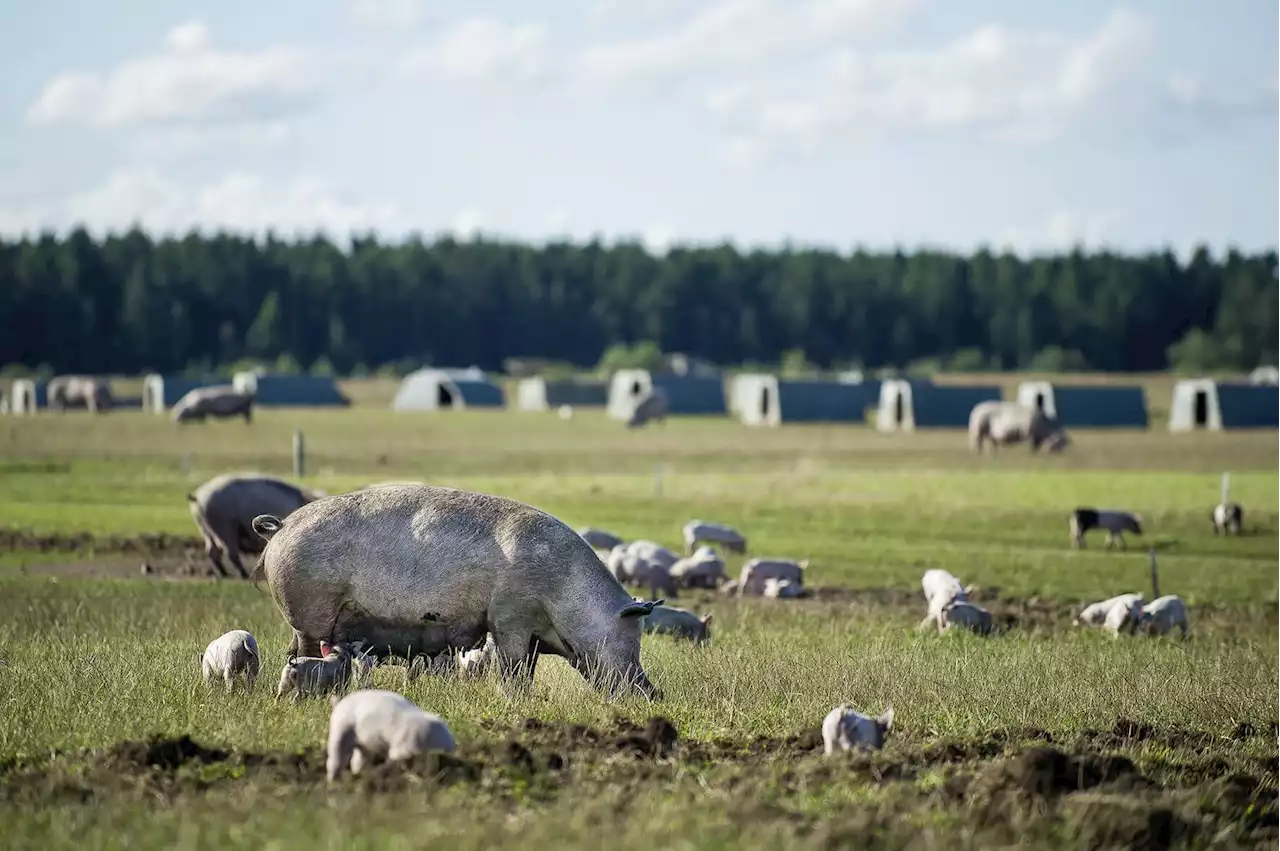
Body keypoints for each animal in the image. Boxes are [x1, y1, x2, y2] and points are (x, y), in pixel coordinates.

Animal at [186, 468, 322, 580]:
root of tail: (197, 496)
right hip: (225, 526)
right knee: (230, 553)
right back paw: (243, 575)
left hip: (205, 529)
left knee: (212, 551)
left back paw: (224, 574)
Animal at [252, 481, 670, 701]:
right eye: (630, 642)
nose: (655, 695)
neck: (564, 591)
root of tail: (282, 526)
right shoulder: (510, 616)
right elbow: (513, 666)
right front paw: (517, 701)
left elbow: (527, 667)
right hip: (308, 611)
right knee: (304, 650)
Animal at [325, 685, 455, 778]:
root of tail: (340, 703)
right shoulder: (403, 744)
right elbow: (395, 759)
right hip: (340, 728)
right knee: (336, 756)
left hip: (364, 744)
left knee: (358, 760)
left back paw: (360, 774)